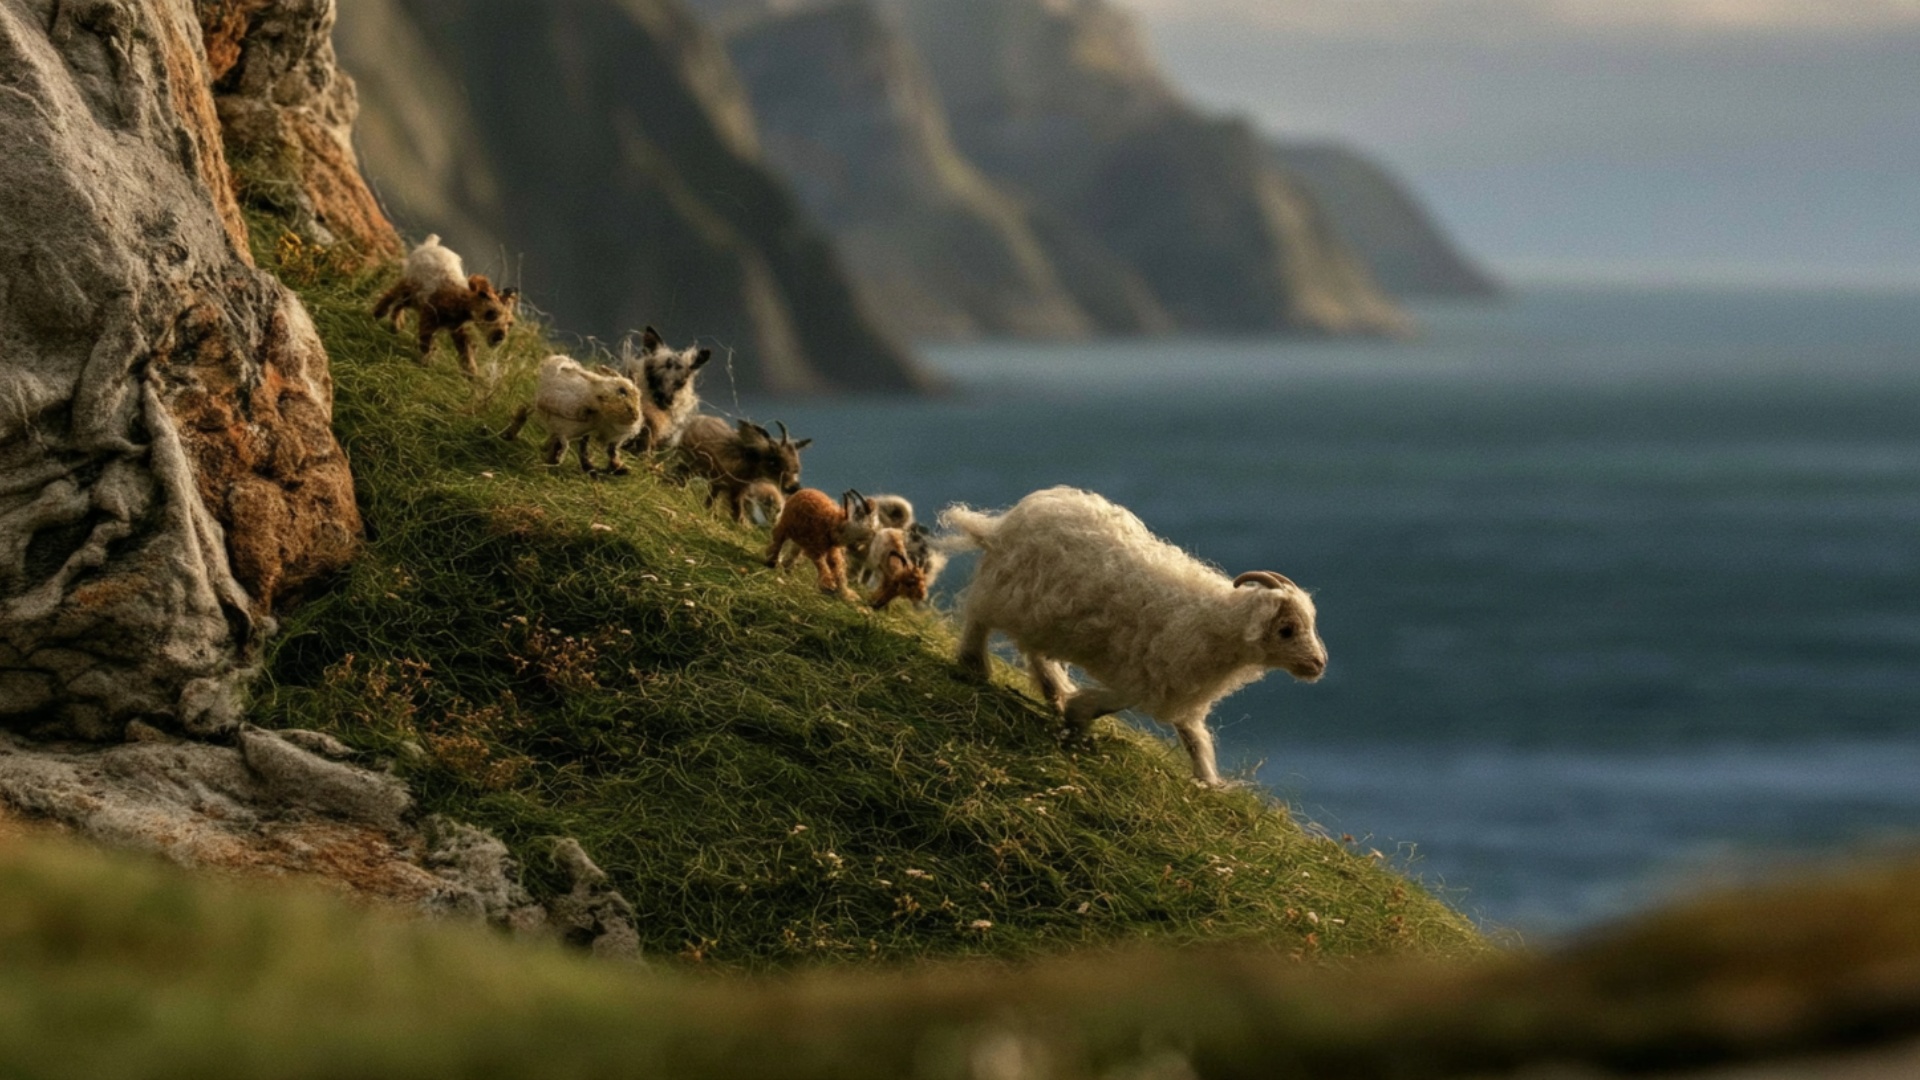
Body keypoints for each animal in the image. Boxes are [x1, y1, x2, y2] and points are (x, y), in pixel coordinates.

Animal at [372, 235, 519, 376]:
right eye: (491, 313)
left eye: (510, 324)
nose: (499, 336)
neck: (458, 298)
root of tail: (430, 245)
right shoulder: (429, 316)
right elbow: (426, 342)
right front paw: (427, 362)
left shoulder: (457, 329)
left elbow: (466, 350)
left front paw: (471, 373)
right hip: (409, 284)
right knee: (391, 295)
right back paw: (378, 313)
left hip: (414, 298)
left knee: (399, 305)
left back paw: (396, 325)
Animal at [500, 356, 644, 475]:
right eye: (622, 391)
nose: (635, 416)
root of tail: (552, 363)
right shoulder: (564, 424)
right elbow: (563, 442)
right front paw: (556, 459)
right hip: (539, 404)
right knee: (525, 410)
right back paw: (509, 435)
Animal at [679, 416, 810, 524]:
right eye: (774, 462)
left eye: (796, 468)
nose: (794, 487)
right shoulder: (734, 488)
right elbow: (737, 509)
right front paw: (743, 525)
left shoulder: (724, 484)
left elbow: (713, 499)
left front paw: (709, 513)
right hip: (690, 463)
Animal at [940, 486, 1327, 788]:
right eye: (1286, 629)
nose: (1318, 664)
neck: (1212, 622)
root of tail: (1007, 521)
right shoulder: (1144, 678)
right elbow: (1110, 703)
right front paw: (1077, 719)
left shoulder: (1182, 692)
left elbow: (1196, 741)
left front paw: (1208, 782)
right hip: (1007, 592)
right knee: (978, 616)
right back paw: (975, 665)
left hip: (1045, 618)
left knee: (1035, 653)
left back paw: (1055, 692)